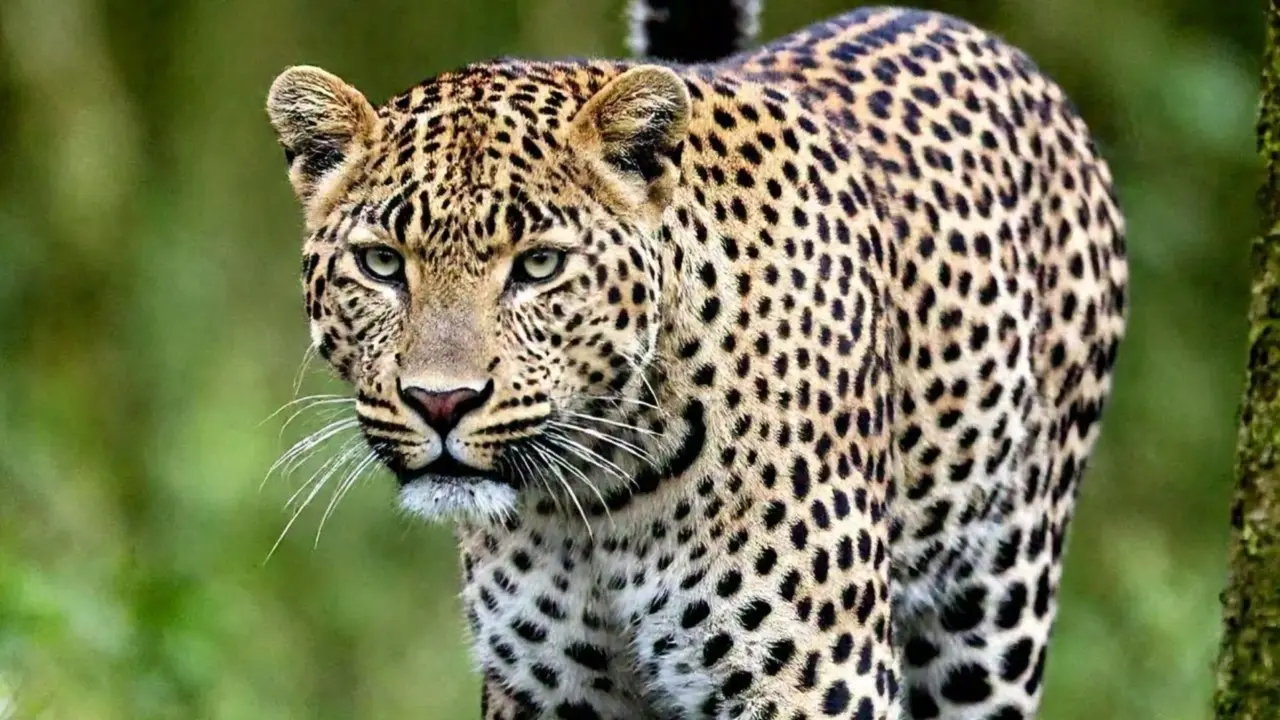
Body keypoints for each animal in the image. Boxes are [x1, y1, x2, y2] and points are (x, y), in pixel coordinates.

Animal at [263, 0, 1127, 717]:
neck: (595, 499)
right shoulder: (544, 690)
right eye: (381, 264)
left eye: (538, 266)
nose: (441, 402)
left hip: (998, 605)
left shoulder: (818, 680)